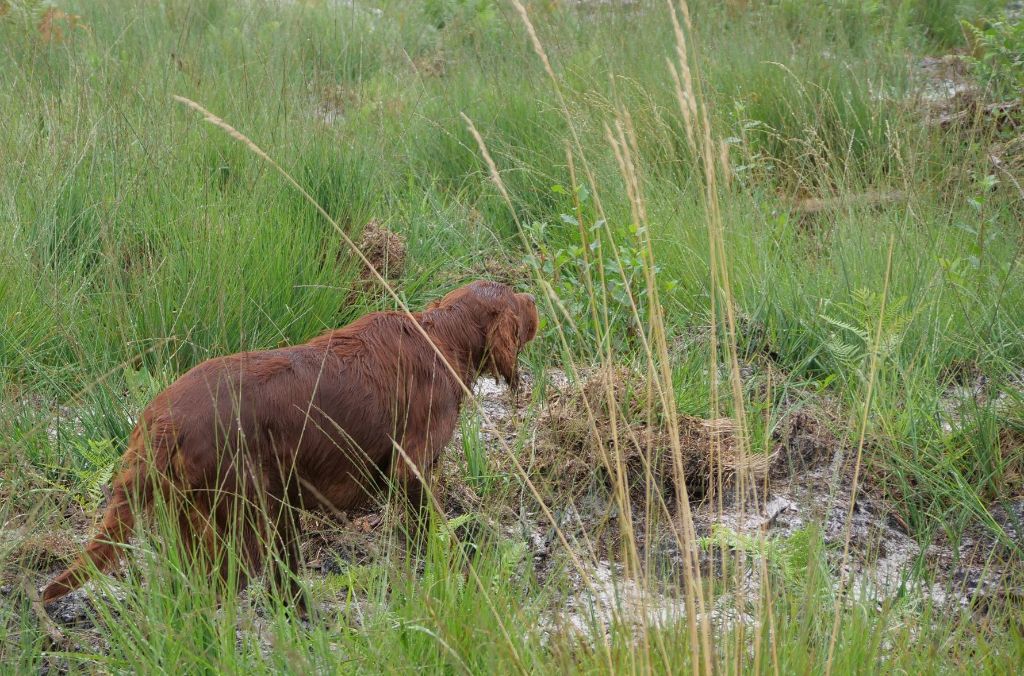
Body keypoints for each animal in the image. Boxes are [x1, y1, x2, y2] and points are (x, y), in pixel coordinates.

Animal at [41, 280, 536, 606]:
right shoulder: (411, 468)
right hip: (245, 517)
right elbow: (427, 532)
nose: (535, 298)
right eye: (516, 295)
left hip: (210, 517)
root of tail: (159, 419)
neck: (441, 336)